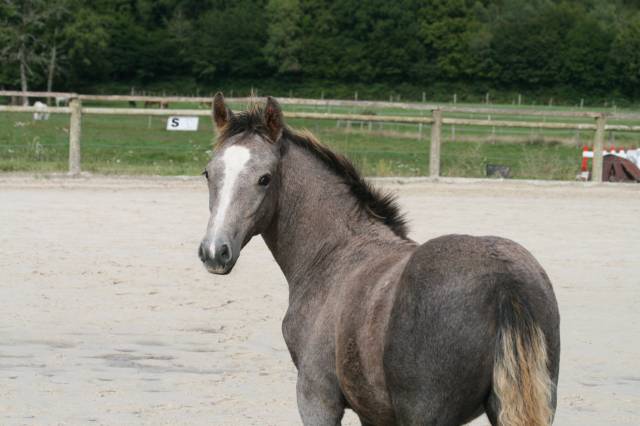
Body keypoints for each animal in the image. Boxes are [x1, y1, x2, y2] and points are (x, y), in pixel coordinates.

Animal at [199, 94, 560, 426]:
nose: (215, 252)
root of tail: (505, 281)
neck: (335, 254)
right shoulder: (373, 411)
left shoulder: (316, 396)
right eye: (207, 173)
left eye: (265, 178)